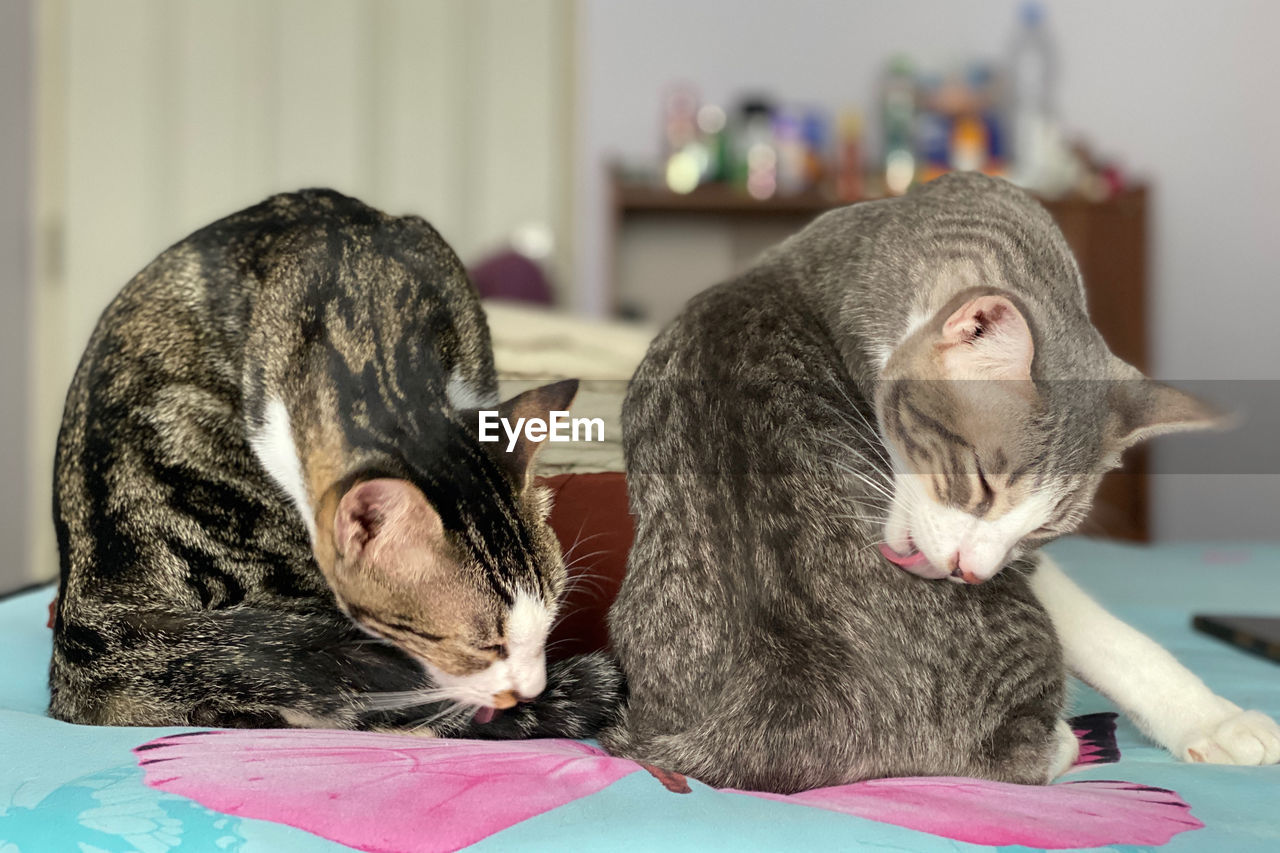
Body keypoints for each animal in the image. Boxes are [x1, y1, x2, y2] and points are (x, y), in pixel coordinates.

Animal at [601, 171, 1280, 788]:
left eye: (1044, 530)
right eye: (980, 481)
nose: (970, 574)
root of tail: (782, 704)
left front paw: (1212, 720)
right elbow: (1104, 634)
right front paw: (1209, 718)